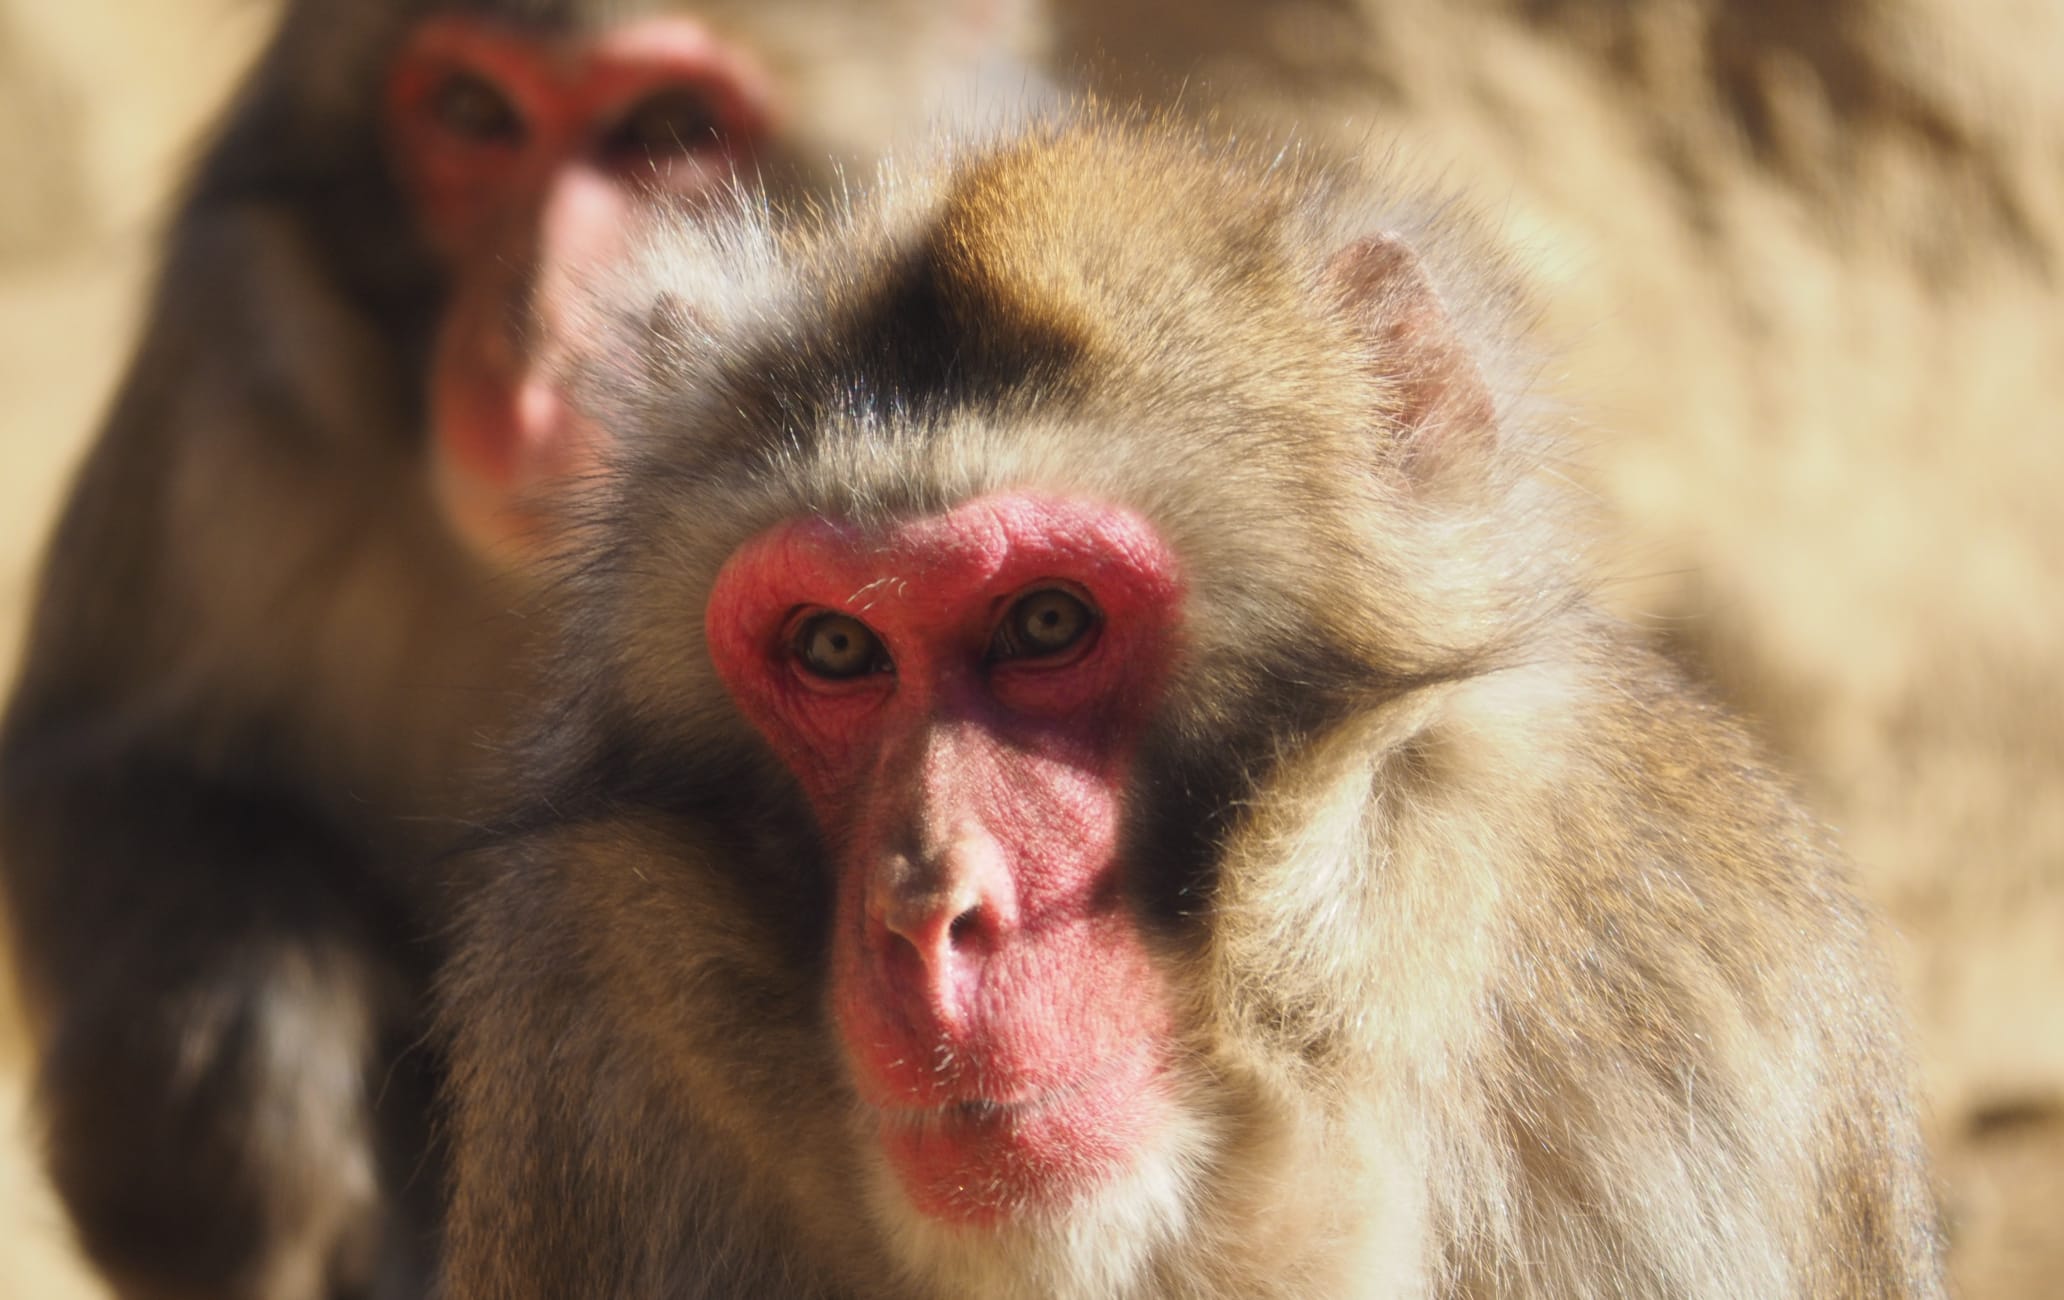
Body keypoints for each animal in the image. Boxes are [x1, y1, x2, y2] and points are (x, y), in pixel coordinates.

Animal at [0, 2, 1040, 1300]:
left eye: (671, 130)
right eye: (471, 113)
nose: (533, 342)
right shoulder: (233, 366)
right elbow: (101, 763)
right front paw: (232, 1090)